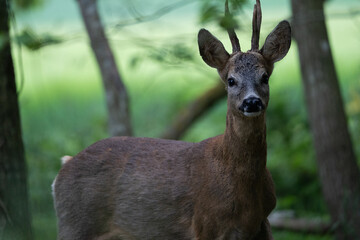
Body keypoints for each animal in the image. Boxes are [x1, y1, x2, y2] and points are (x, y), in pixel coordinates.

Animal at [52, 0, 290, 239]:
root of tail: (63, 168)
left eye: (265, 77)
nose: (252, 102)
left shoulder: (263, 223)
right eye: (231, 80)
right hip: (75, 225)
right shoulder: (205, 223)